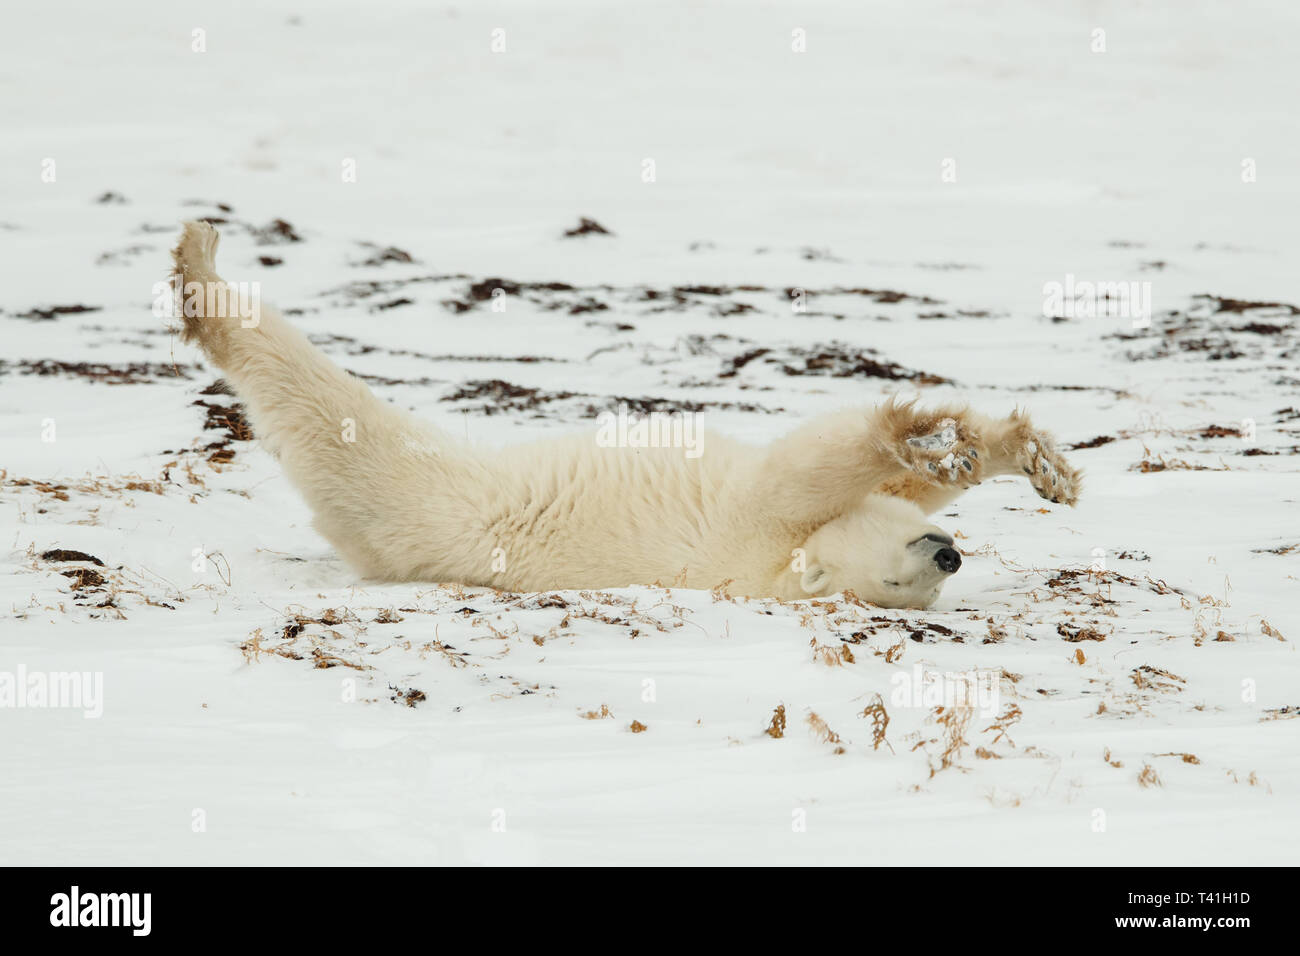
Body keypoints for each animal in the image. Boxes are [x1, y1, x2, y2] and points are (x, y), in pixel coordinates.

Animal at [172, 221, 1081, 608]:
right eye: (896, 577)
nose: (948, 557)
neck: (774, 569)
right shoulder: (756, 523)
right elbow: (821, 466)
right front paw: (987, 449)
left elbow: (834, 470)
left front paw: (1002, 457)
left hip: (421, 499)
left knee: (335, 430)